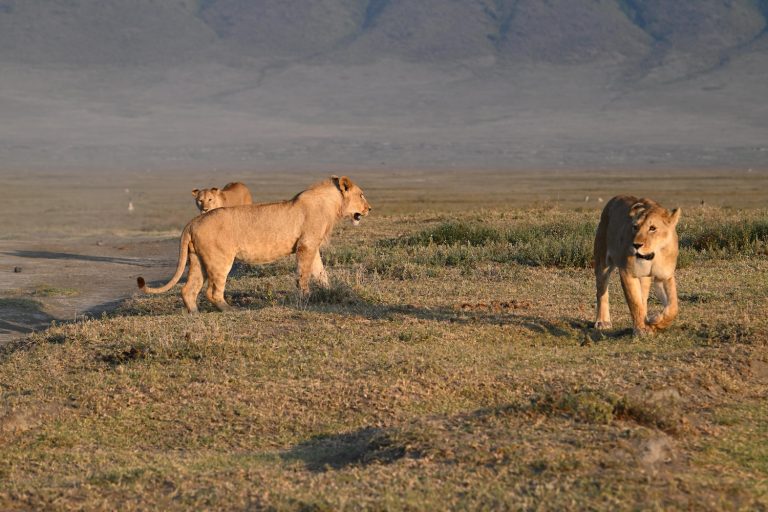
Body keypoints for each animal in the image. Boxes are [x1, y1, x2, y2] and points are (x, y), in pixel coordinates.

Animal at [138, 176, 371, 313]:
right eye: (361, 195)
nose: (369, 209)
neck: (333, 204)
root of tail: (194, 220)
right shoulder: (306, 245)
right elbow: (304, 274)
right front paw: (305, 297)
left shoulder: (312, 246)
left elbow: (321, 273)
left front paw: (329, 291)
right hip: (220, 259)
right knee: (212, 292)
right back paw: (230, 310)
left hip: (197, 260)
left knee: (188, 289)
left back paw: (195, 314)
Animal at [593, 195, 681, 335]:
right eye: (635, 227)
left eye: (652, 228)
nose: (636, 245)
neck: (653, 256)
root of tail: (615, 198)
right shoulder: (627, 272)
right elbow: (634, 302)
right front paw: (640, 329)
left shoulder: (665, 276)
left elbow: (673, 306)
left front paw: (656, 321)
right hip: (602, 262)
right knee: (601, 291)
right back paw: (603, 321)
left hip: (644, 277)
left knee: (643, 297)